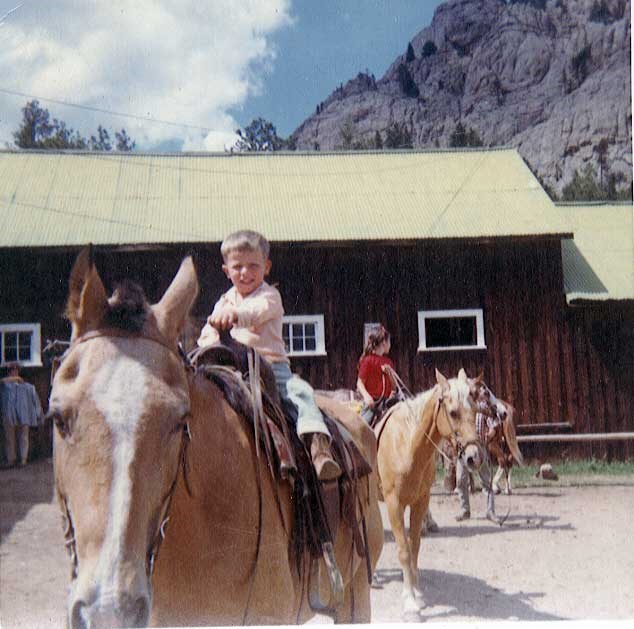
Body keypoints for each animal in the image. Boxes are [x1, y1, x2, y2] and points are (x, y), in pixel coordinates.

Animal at [376, 370, 478, 616]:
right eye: (453, 412)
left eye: (475, 409)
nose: (473, 456)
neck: (407, 445)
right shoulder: (394, 504)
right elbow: (404, 550)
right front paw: (410, 602)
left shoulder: (420, 502)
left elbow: (415, 547)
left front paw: (417, 592)